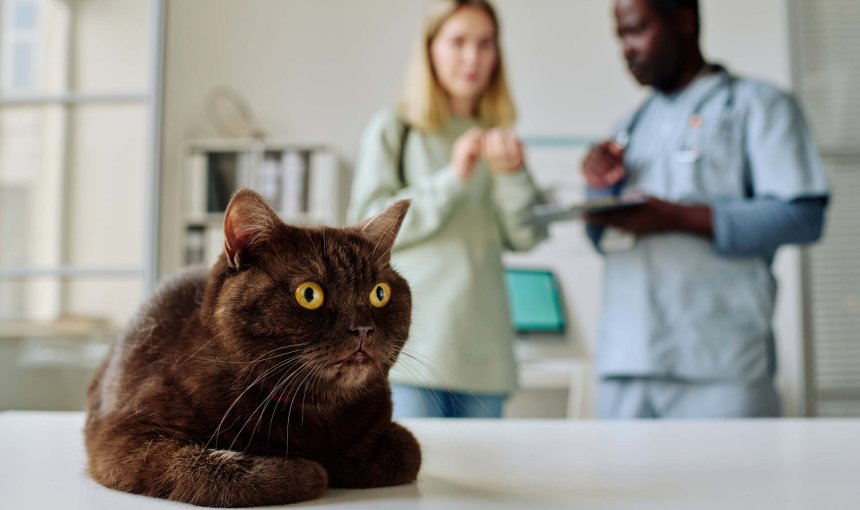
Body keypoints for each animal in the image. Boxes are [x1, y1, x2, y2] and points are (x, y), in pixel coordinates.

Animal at [85, 189, 422, 508]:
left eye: (380, 293)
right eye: (309, 294)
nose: (362, 328)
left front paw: (340, 462)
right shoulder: (127, 438)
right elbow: (211, 473)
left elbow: (408, 450)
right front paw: (308, 470)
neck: (313, 412)